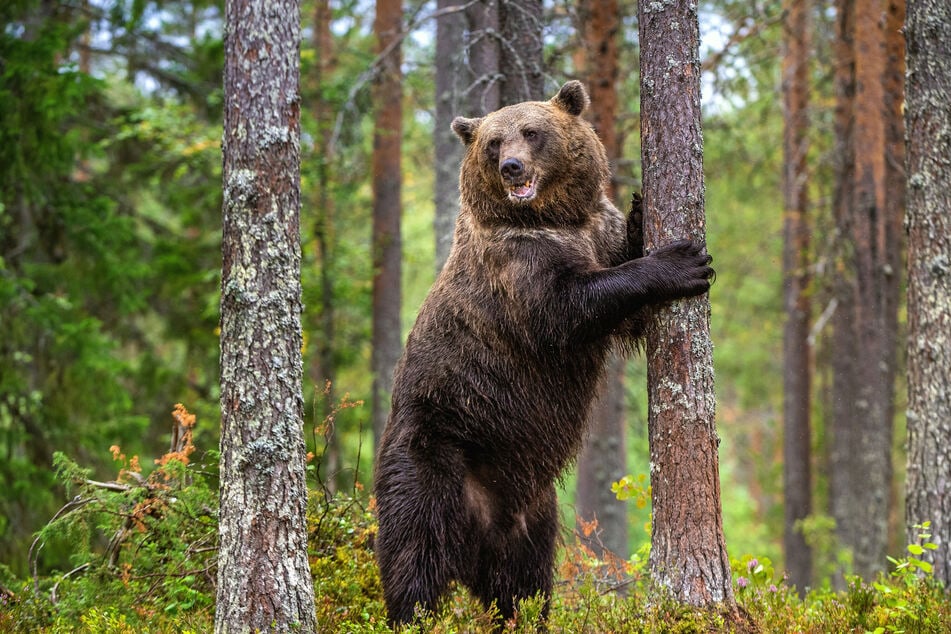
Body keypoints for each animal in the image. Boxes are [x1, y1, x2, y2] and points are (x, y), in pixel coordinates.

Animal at [374, 81, 712, 624]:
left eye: (532, 132)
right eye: (494, 142)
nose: (512, 166)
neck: (555, 217)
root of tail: (480, 527)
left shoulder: (594, 230)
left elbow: (627, 306)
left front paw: (642, 213)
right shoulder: (516, 262)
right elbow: (566, 307)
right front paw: (681, 262)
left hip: (533, 512)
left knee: (524, 584)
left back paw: (521, 614)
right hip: (431, 454)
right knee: (415, 554)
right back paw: (411, 615)